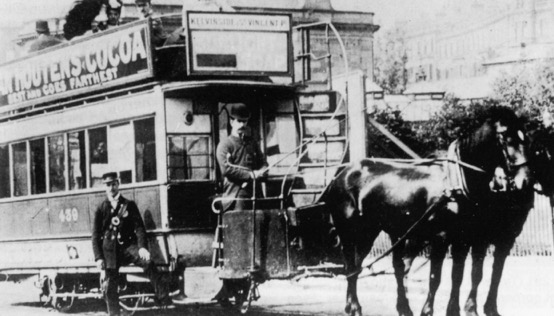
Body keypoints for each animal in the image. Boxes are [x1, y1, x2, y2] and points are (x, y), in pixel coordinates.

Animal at [322, 107, 532, 316]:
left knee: (369, 266)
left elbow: (459, 276)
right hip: (351, 232)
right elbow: (435, 277)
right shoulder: (441, 238)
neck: (456, 181)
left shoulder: (463, 239)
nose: (525, 180)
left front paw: (453, 310)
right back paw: (355, 307)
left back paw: (392, 307)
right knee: (352, 266)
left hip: (375, 232)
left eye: (525, 137)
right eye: (504, 137)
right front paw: (428, 310)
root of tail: (342, 175)